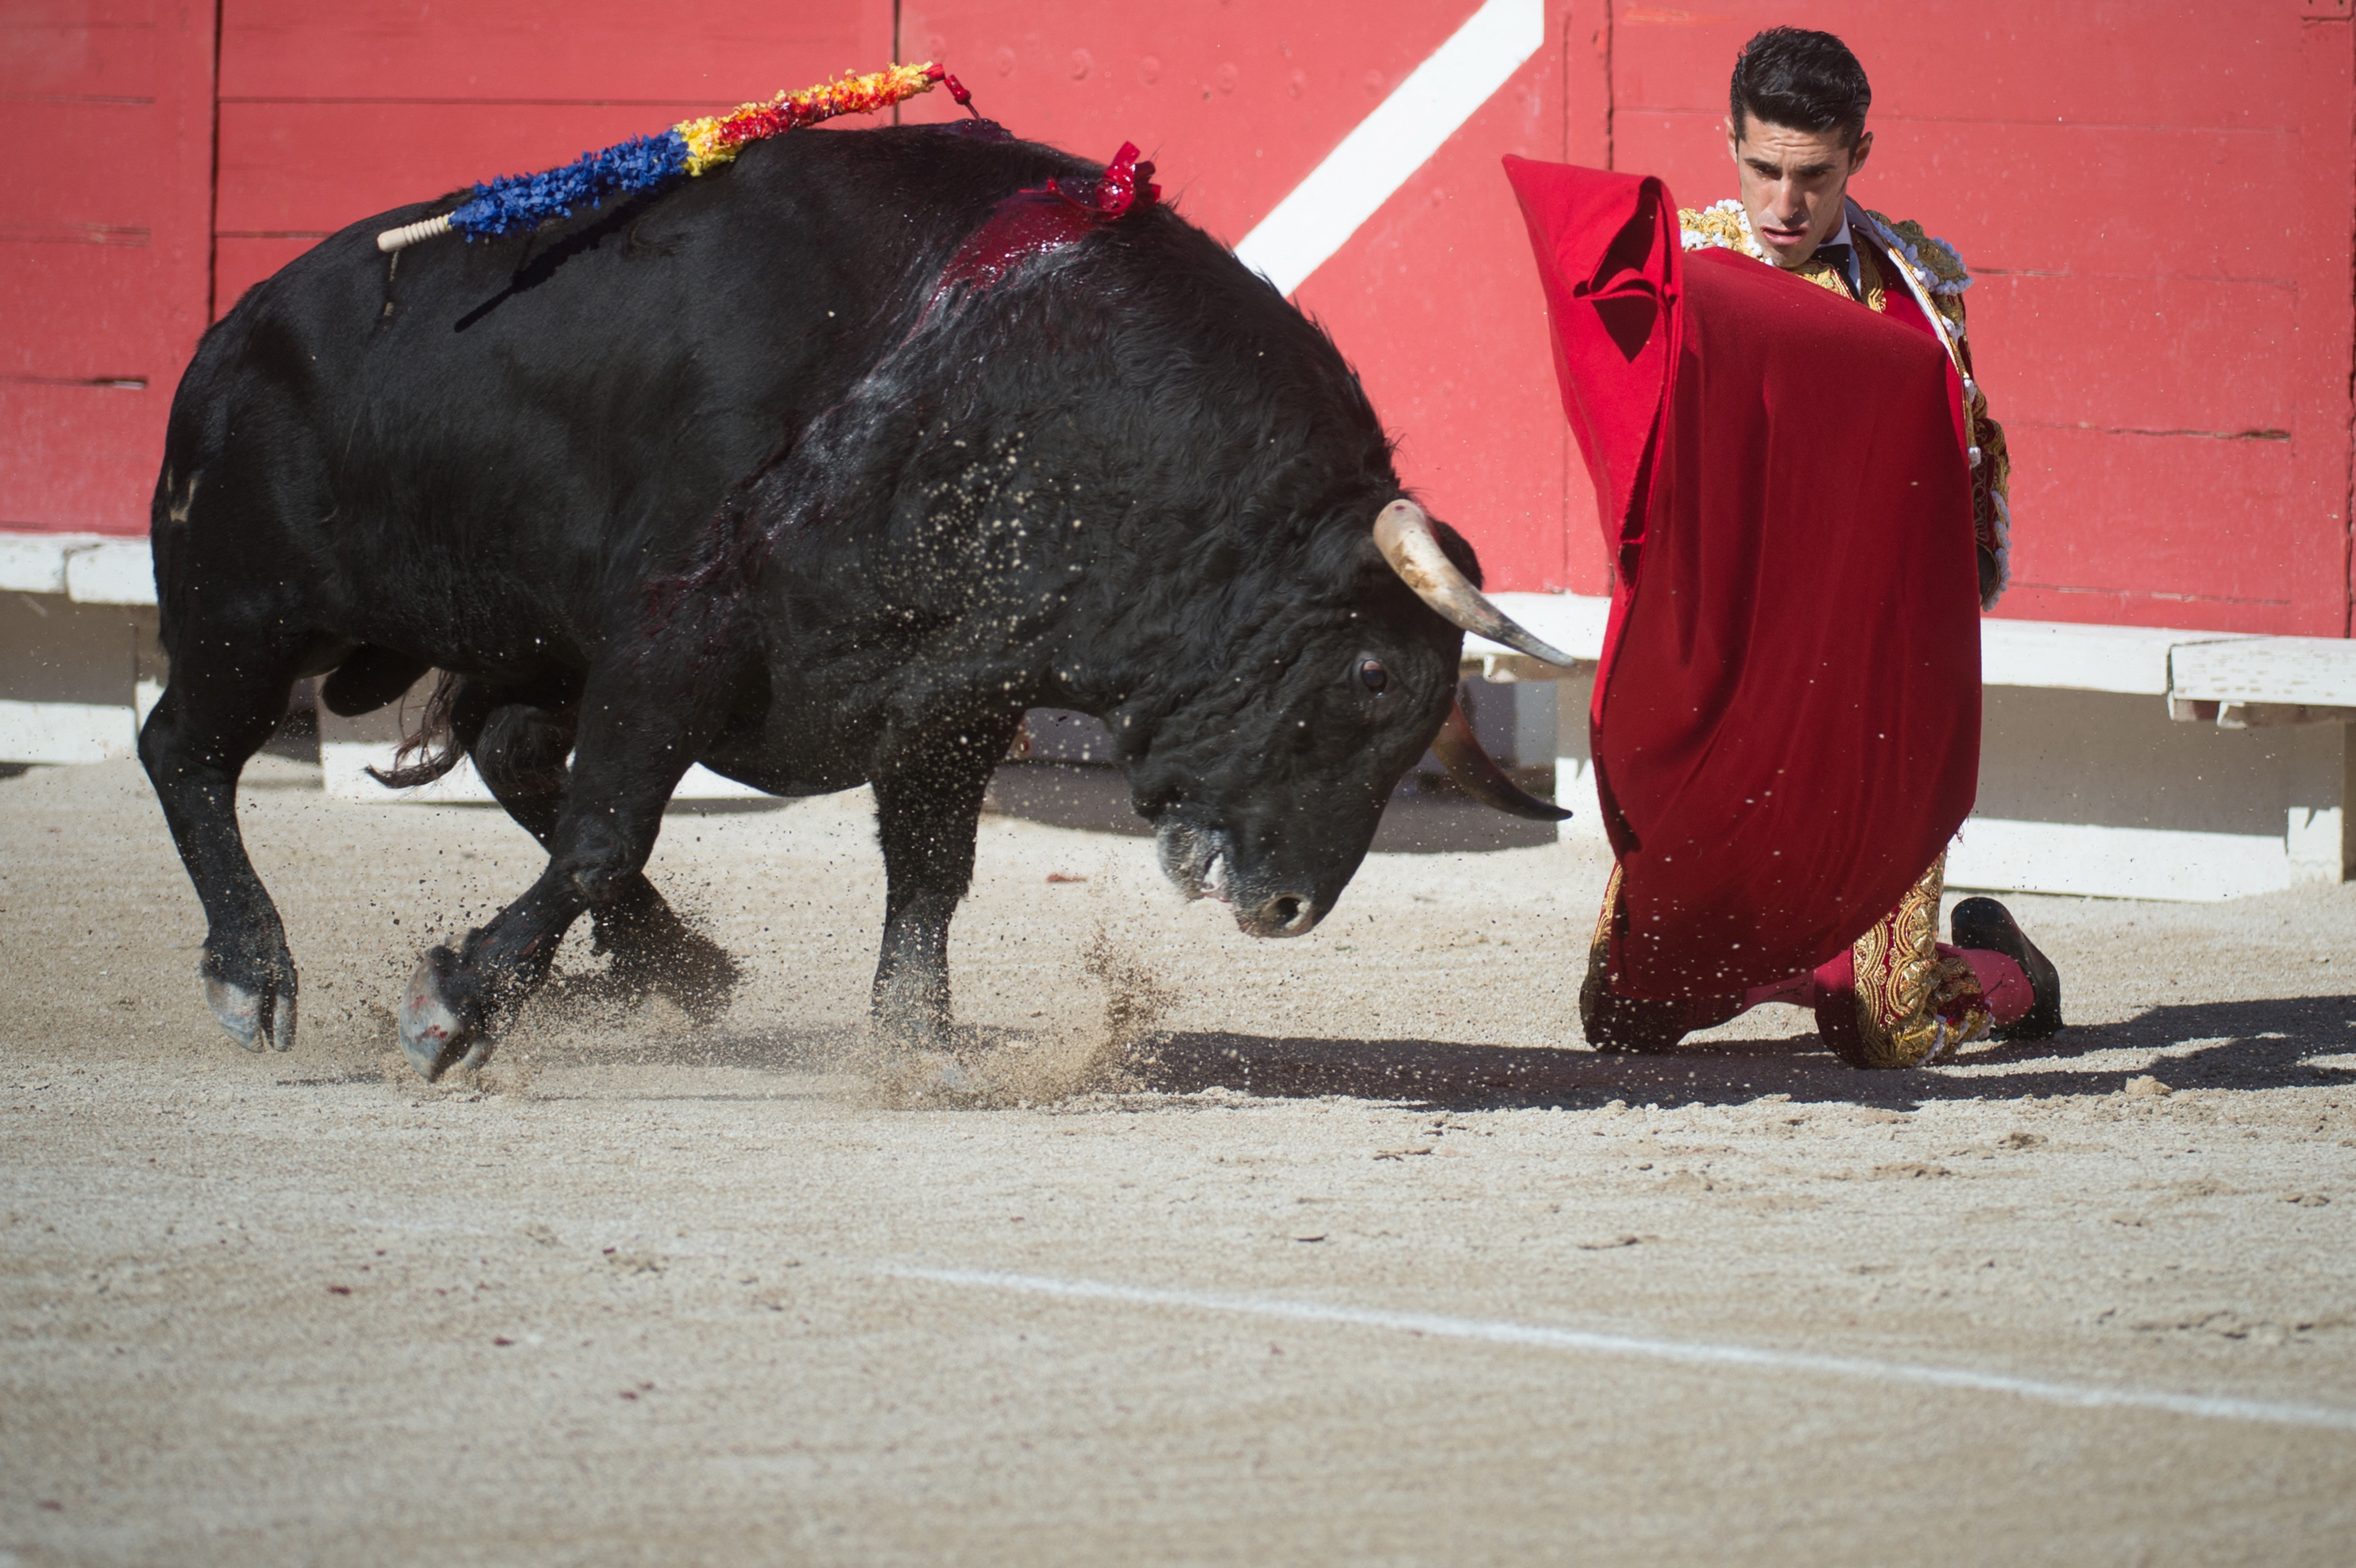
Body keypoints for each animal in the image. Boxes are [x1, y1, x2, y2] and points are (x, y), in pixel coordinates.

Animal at [142, 125, 1564, 1073]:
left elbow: (933, 869)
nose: (1288, 909)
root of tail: (233, 327)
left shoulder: (949, 690)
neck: (1018, 386)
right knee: (186, 749)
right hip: (247, 613)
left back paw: (682, 969)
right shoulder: (678, 634)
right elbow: (610, 829)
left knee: (503, 748)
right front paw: (456, 1011)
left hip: (498, 637)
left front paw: (916, 1046)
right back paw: (254, 975)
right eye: (1371, 674)